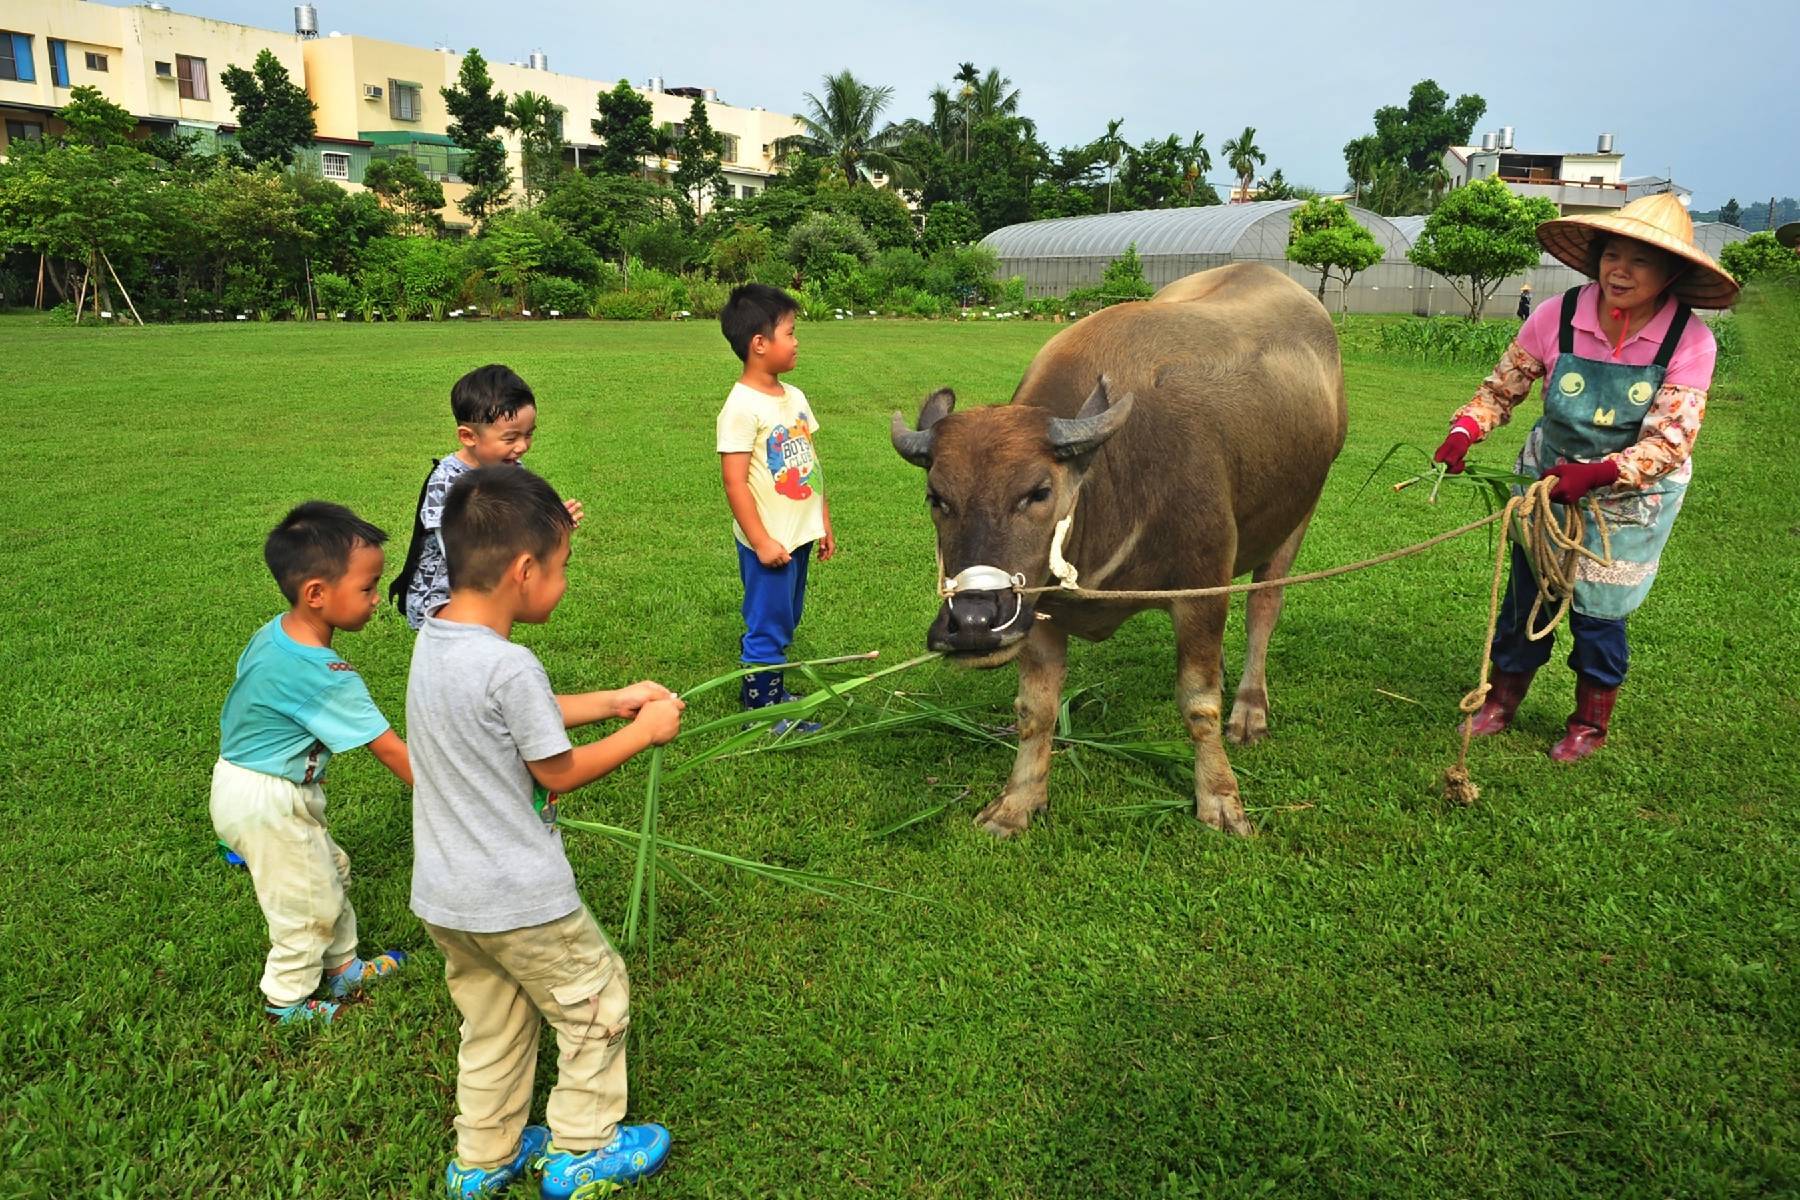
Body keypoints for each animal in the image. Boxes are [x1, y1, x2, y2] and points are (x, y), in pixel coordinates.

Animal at [892, 264, 1346, 834]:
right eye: (937, 497)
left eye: (1038, 492)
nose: (973, 624)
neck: (1113, 478)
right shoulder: (1039, 608)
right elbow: (1035, 710)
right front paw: (1017, 803)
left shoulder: (1203, 584)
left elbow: (1199, 704)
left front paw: (1219, 798)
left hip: (1300, 511)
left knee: (1264, 609)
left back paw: (1249, 709)